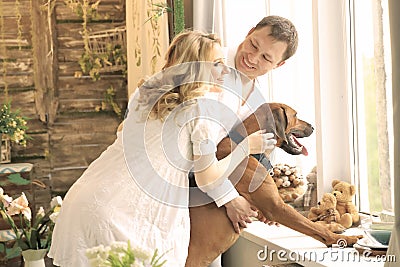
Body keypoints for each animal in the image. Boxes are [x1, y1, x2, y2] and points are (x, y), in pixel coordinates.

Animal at [186, 103, 360, 267]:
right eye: (295, 115)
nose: (312, 126)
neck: (249, 148)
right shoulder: (276, 208)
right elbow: (315, 227)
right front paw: (344, 238)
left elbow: (312, 221)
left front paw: (334, 225)